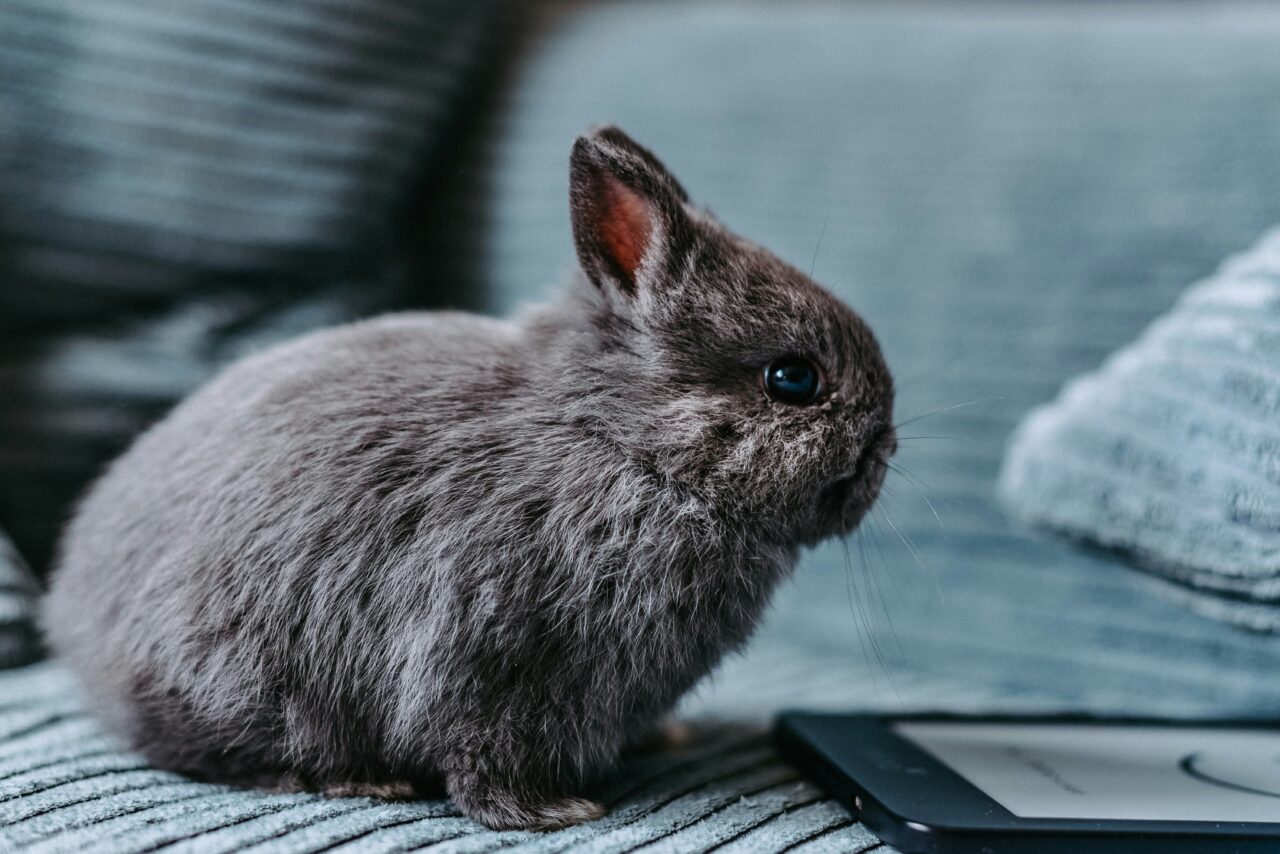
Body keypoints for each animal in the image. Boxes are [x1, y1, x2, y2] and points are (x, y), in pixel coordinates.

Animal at [45, 126, 896, 829]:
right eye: (793, 379)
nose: (886, 445)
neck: (629, 448)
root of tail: (74, 622)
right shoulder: (486, 653)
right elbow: (481, 755)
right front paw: (552, 814)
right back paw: (359, 781)